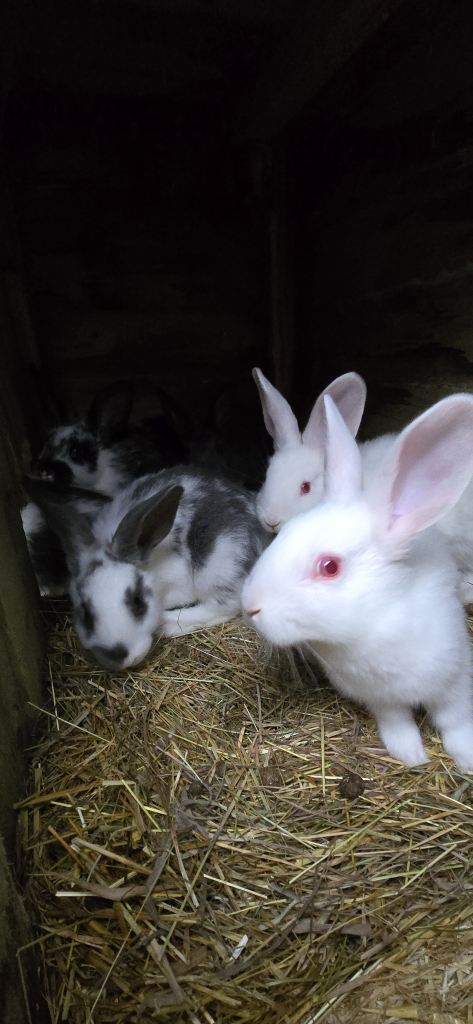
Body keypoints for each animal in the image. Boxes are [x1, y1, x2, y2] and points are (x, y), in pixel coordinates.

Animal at [26, 467, 269, 670]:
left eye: (138, 602)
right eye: (85, 612)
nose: (118, 656)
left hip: (217, 567)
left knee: (221, 607)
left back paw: (166, 624)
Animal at [242, 392, 473, 771]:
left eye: (330, 567)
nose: (250, 606)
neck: (372, 627)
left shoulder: (455, 680)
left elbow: (456, 721)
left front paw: (466, 758)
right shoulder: (381, 699)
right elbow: (396, 722)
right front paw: (410, 755)